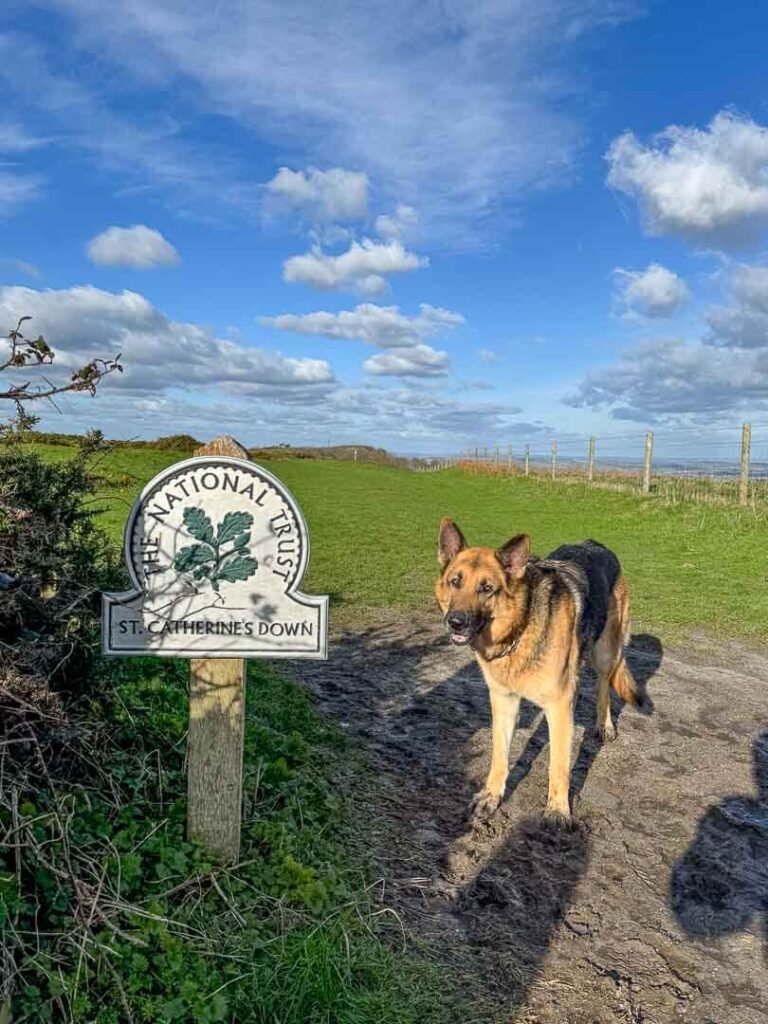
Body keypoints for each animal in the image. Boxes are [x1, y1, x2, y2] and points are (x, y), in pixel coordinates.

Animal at [436, 520, 638, 823]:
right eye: (455, 582)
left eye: (487, 588)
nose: (456, 622)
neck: (520, 627)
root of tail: (596, 544)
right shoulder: (504, 701)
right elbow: (499, 755)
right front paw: (491, 796)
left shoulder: (559, 706)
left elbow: (559, 765)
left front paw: (557, 810)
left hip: (605, 652)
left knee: (603, 684)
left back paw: (605, 725)